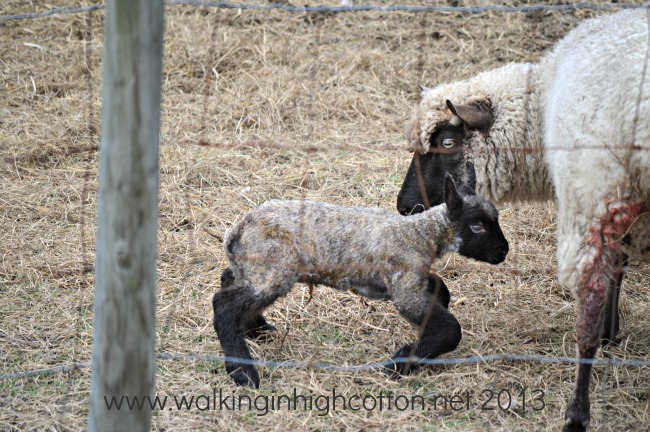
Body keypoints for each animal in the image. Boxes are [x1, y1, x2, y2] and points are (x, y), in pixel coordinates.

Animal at [212, 172, 509, 388]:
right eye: (477, 227)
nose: (504, 251)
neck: (421, 234)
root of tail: (238, 229)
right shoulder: (405, 288)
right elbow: (451, 329)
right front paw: (399, 363)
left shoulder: (410, 279)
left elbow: (442, 291)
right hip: (273, 271)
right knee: (223, 304)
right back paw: (242, 372)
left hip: (255, 267)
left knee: (228, 279)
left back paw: (257, 330)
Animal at [395, 8, 650, 431]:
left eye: (447, 142)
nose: (405, 206)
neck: (543, 95)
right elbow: (620, 264)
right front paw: (613, 332)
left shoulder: (595, 195)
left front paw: (606, 333)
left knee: (587, 306)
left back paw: (576, 412)